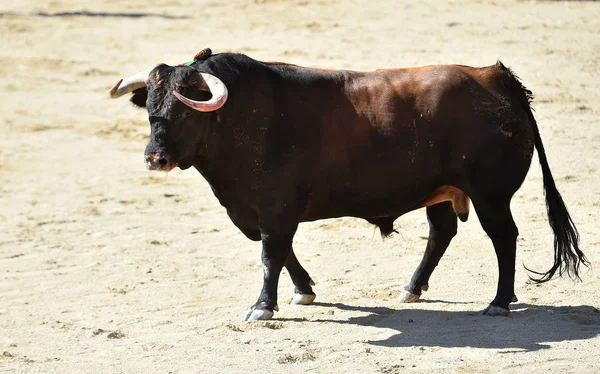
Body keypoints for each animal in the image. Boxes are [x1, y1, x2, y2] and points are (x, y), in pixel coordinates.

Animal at [106, 47, 584, 322]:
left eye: (187, 109)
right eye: (150, 109)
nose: (155, 158)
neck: (242, 115)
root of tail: (498, 78)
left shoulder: (277, 206)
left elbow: (271, 253)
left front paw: (262, 307)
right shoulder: (256, 211)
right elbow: (282, 252)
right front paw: (303, 291)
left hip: (490, 194)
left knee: (503, 236)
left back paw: (499, 302)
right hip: (442, 191)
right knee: (442, 232)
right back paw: (412, 288)